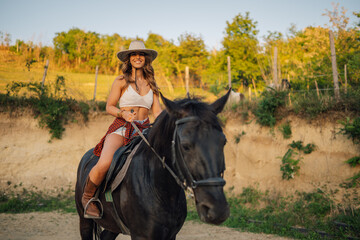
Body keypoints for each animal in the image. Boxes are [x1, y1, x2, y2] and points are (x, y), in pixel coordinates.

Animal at [75, 91, 231, 239]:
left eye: (223, 141)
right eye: (185, 146)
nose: (217, 210)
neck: (159, 188)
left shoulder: (171, 235)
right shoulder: (140, 235)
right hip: (84, 220)